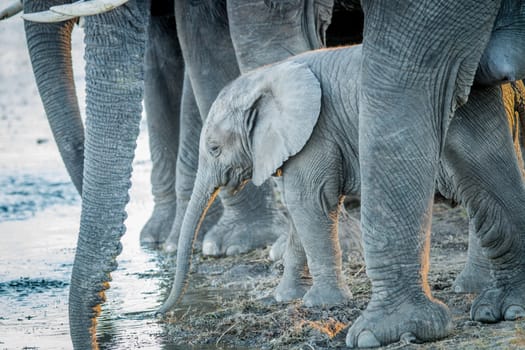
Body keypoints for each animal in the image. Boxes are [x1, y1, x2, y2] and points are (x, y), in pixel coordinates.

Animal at [160, 44, 524, 348]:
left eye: (214, 149)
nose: (159, 311)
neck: (266, 77)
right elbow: (300, 211)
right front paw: (286, 298)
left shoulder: (317, 132)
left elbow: (308, 202)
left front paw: (321, 303)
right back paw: (472, 287)